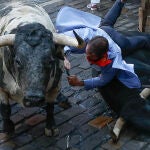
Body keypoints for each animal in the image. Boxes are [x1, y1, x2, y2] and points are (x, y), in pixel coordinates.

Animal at [0, 2, 84, 136]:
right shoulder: (2, 88)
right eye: (17, 61)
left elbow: (50, 107)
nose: (33, 99)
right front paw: (7, 129)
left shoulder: (55, 86)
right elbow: (5, 109)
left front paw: (51, 127)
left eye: (50, 61)